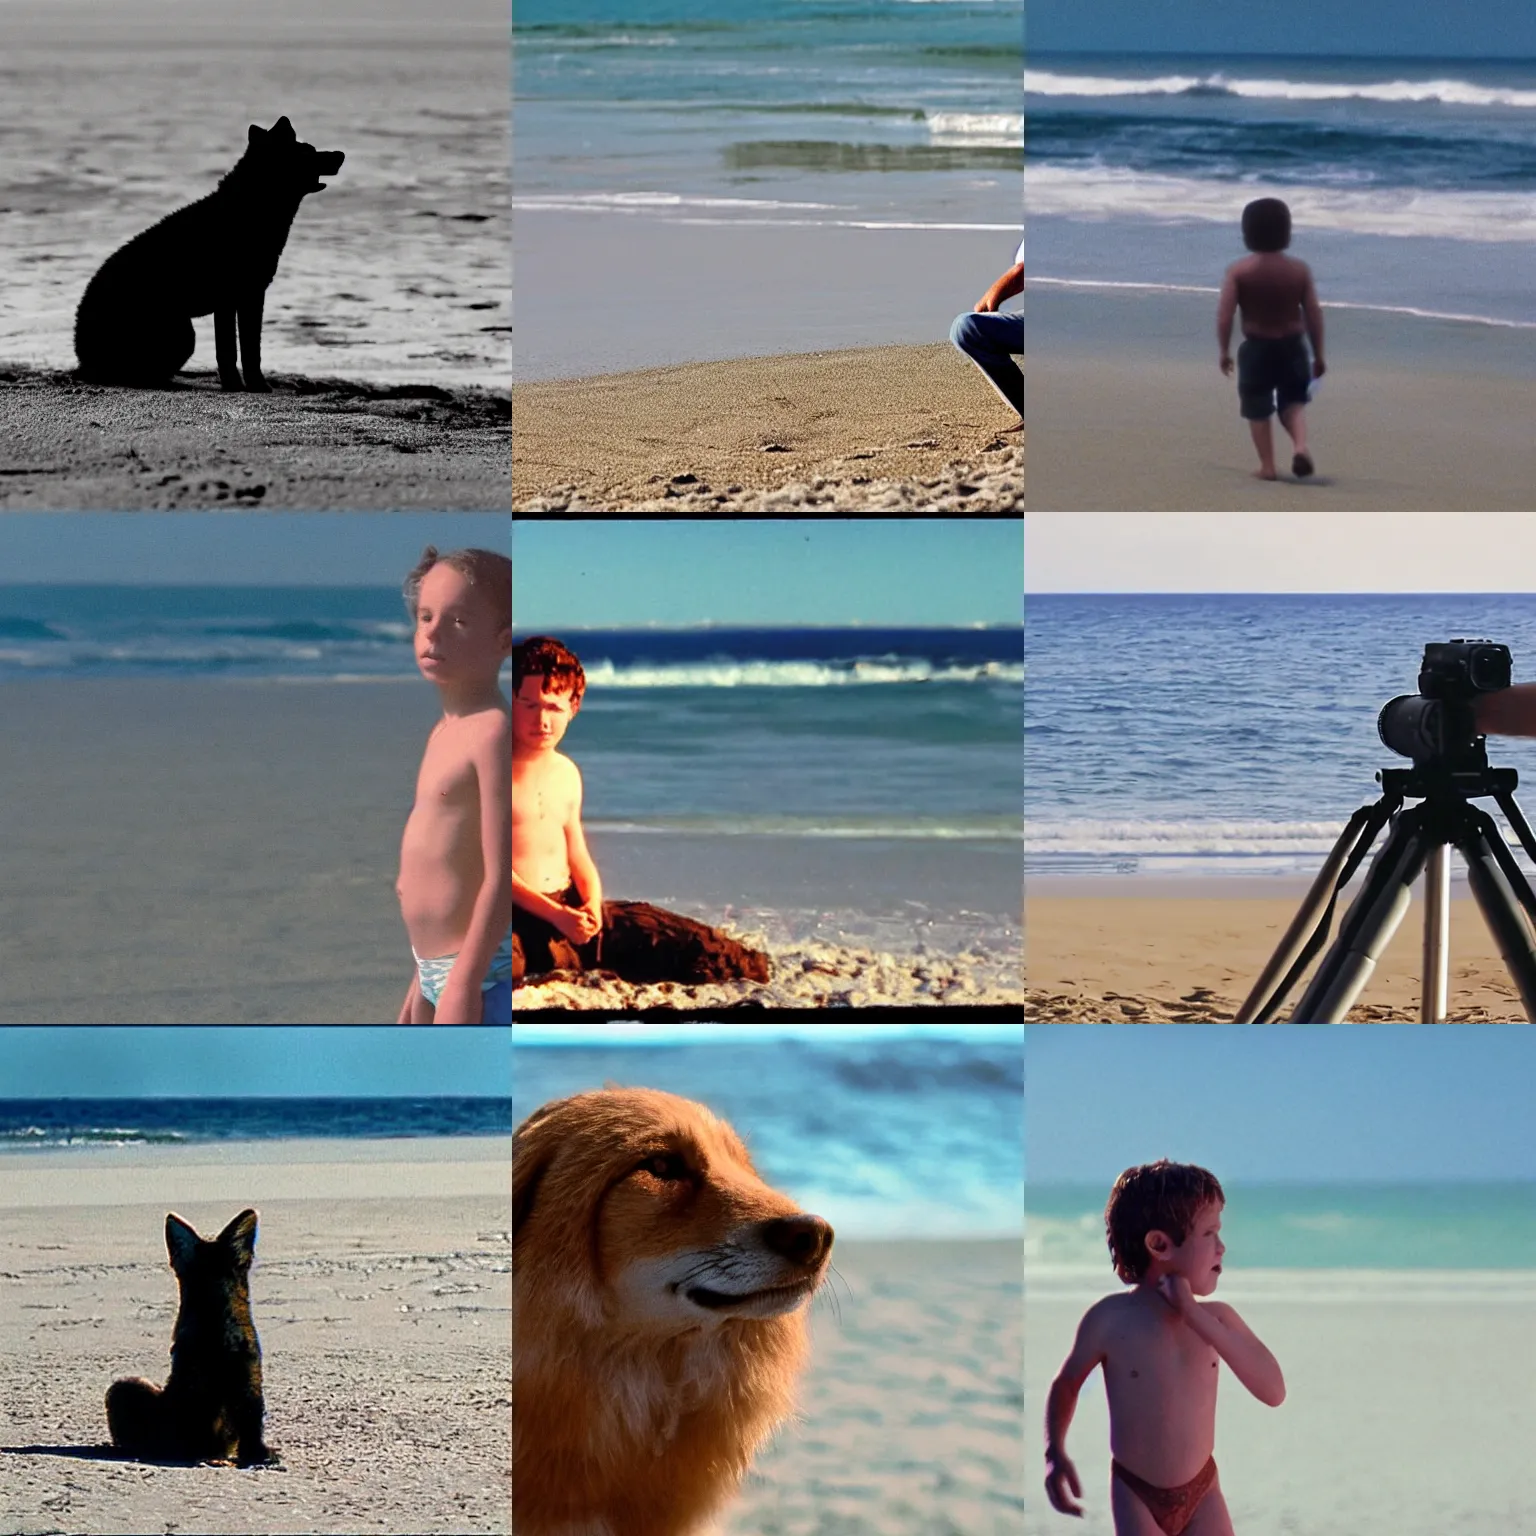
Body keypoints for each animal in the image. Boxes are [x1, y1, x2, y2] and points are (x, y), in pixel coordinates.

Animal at [74, 114, 342, 390]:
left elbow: (250, 349)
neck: (252, 207)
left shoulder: (251, 296)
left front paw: (254, 385)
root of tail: (82, 360)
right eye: (308, 151)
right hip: (181, 332)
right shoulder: (230, 298)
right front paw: (237, 385)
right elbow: (229, 350)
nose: (341, 154)